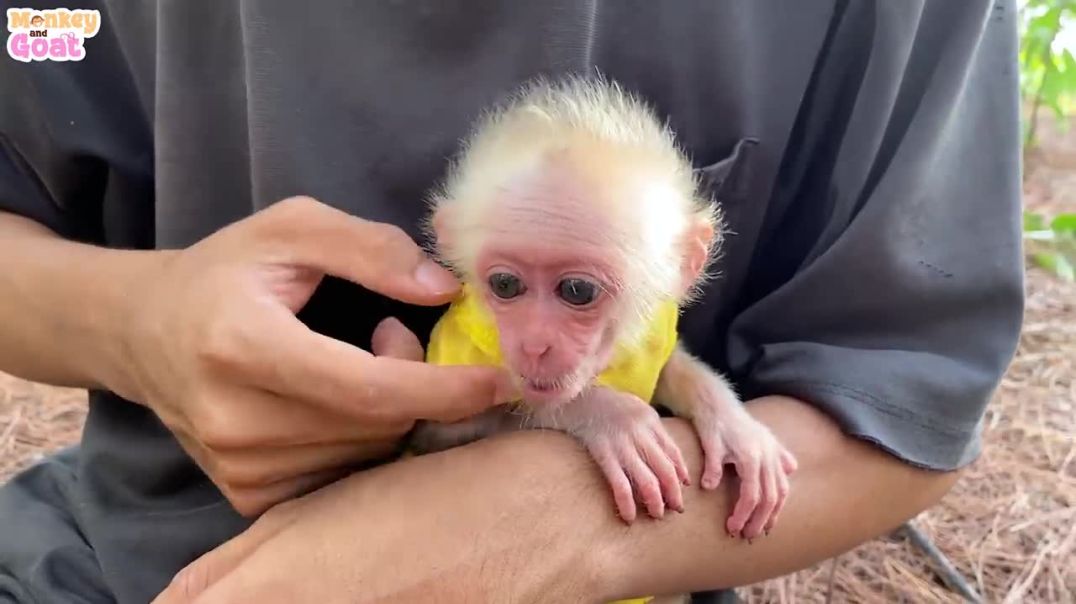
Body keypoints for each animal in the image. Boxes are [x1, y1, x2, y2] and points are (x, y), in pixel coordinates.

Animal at [411, 76, 798, 550]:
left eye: (577, 291)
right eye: (505, 285)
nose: (534, 344)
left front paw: (733, 423)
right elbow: (440, 436)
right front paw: (607, 416)